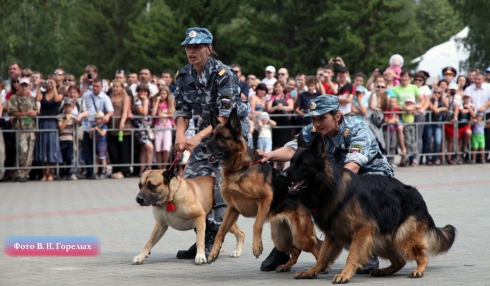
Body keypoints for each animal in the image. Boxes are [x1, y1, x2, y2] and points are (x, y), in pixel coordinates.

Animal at [203, 108, 322, 272]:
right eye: (211, 135)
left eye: (221, 137)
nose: (203, 147)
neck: (239, 168)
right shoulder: (232, 209)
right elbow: (220, 231)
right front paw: (214, 252)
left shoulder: (265, 199)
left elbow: (256, 225)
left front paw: (257, 247)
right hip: (280, 239)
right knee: (296, 251)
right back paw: (285, 266)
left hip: (301, 237)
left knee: (316, 249)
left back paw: (318, 269)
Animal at [282, 132, 458, 284]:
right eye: (291, 161)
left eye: (303, 164)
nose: (282, 175)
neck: (330, 186)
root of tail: (418, 196)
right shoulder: (333, 234)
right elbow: (322, 257)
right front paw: (311, 272)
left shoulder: (362, 231)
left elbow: (351, 256)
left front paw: (344, 275)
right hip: (379, 241)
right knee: (400, 261)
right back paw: (384, 271)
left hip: (400, 237)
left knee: (423, 256)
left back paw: (418, 270)